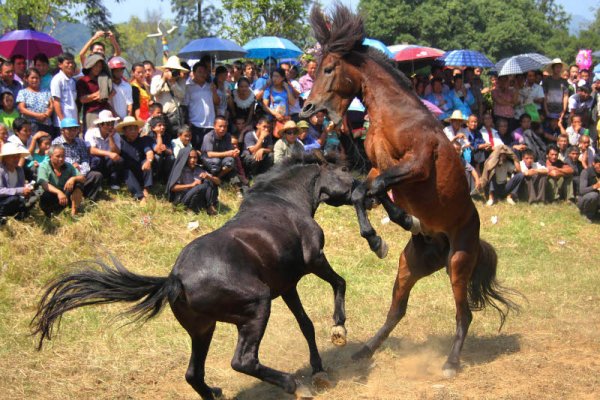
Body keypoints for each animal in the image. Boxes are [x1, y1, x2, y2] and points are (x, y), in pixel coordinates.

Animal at [31, 155, 356, 400]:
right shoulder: (314, 260)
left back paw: (215, 392)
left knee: (193, 374)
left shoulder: (288, 285)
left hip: (203, 328)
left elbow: (306, 325)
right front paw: (339, 330)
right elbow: (340, 283)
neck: (284, 200)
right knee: (243, 361)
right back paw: (292, 385)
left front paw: (319, 369)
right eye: (343, 170)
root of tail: (174, 279)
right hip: (256, 307)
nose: (360, 184)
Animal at [302, 3, 516, 378]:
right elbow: (364, 191)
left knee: (464, 315)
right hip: (410, 267)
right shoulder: (377, 166)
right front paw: (385, 234)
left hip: (458, 263)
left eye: (329, 68)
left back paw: (450, 363)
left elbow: (373, 188)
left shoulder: (417, 165)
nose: (308, 109)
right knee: (396, 311)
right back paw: (365, 350)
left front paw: (395, 225)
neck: (394, 114)